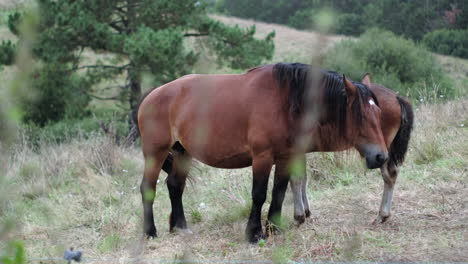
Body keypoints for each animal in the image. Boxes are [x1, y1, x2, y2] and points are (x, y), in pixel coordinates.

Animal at [136, 63, 388, 242]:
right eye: (361, 116)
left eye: (379, 114)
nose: (381, 157)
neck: (285, 101)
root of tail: (152, 95)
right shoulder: (262, 158)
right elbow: (259, 194)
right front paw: (254, 233)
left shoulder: (286, 158)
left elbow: (279, 192)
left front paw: (274, 229)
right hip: (156, 152)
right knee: (148, 188)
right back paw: (150, 232)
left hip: (183, 153)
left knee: (175, 186)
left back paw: (180, 227)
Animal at [290, 72, 414, 225]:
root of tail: (396, 97)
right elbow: (302, 177)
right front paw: (306, 211)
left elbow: (296, 178)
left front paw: (299, 215)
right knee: (393, 173)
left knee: (388, 175)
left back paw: (382, 214)